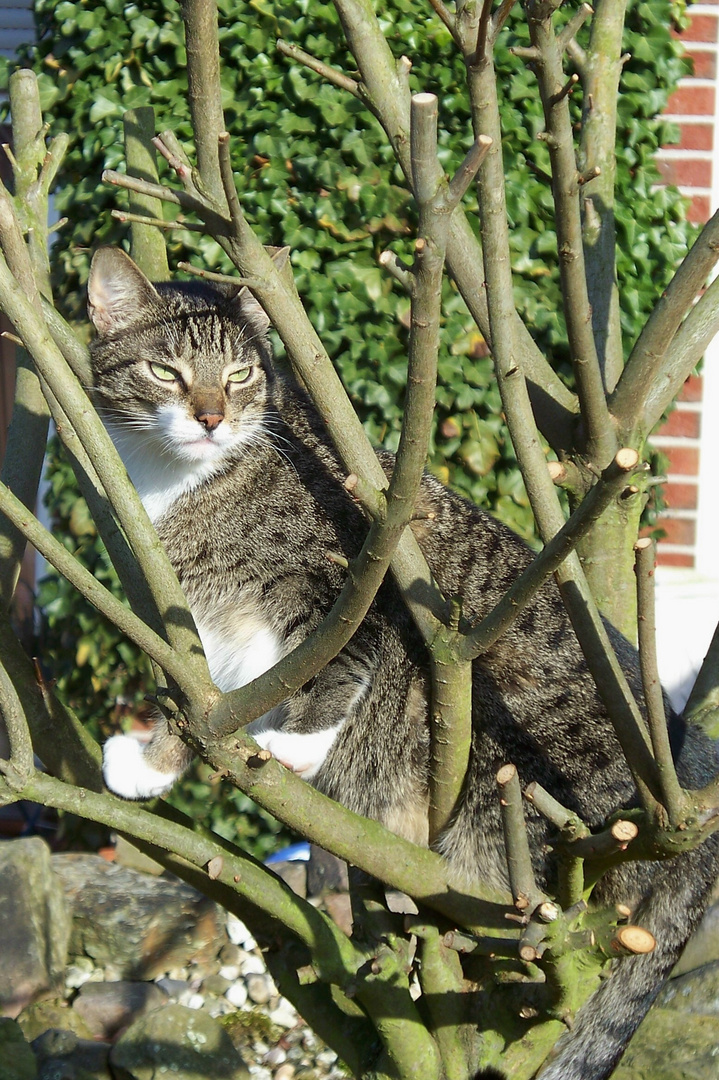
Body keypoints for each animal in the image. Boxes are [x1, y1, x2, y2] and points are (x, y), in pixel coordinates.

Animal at [87, 245, 716, 1080]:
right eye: (166, 371)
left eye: (241, 374)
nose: (211, 417)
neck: (181, 486)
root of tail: (690, 783)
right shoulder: (188, 632)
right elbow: (202, 708)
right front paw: (152, 762)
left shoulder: (353, 585)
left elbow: (337, 661)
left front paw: (296, 746)